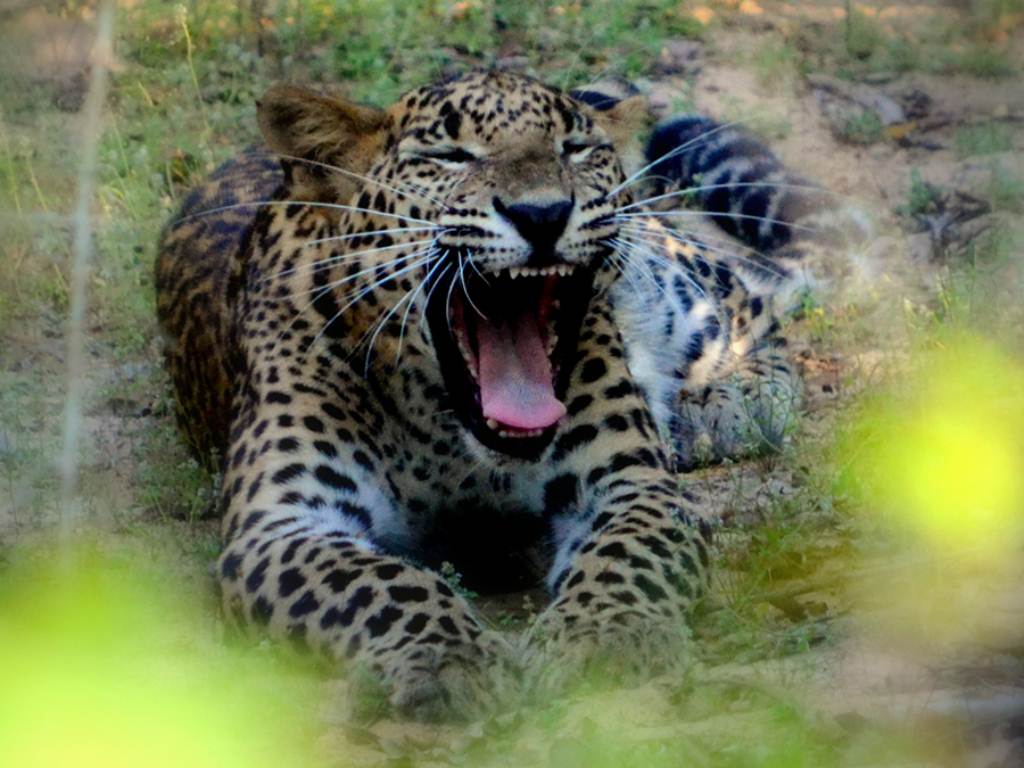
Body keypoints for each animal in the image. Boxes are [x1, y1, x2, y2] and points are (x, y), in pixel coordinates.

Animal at [153, 67, 839, 720]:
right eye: (451, 156)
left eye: (575, 148)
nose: (543, 213)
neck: (445, 433)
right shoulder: (282, 522)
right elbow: (380, 583)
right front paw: (449, 657)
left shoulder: (630, 484)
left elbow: (625, 557)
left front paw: (602, 636)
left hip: (671, 283)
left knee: (751, 304)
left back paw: (724, 407)